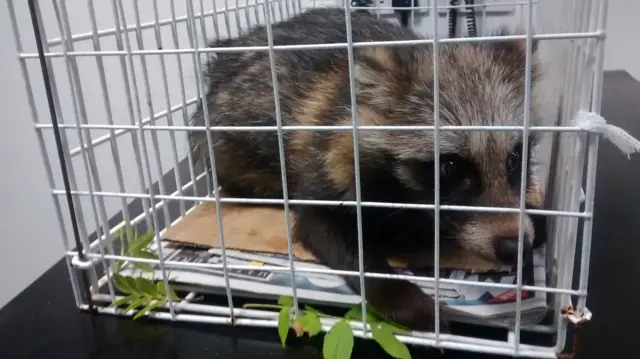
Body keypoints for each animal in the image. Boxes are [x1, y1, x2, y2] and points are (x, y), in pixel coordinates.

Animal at [188, 7, 548, 332]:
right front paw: (395, 291)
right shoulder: (328, 159)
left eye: (514, 158)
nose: (514, 246)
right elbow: (320, 225)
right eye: (450, 166)